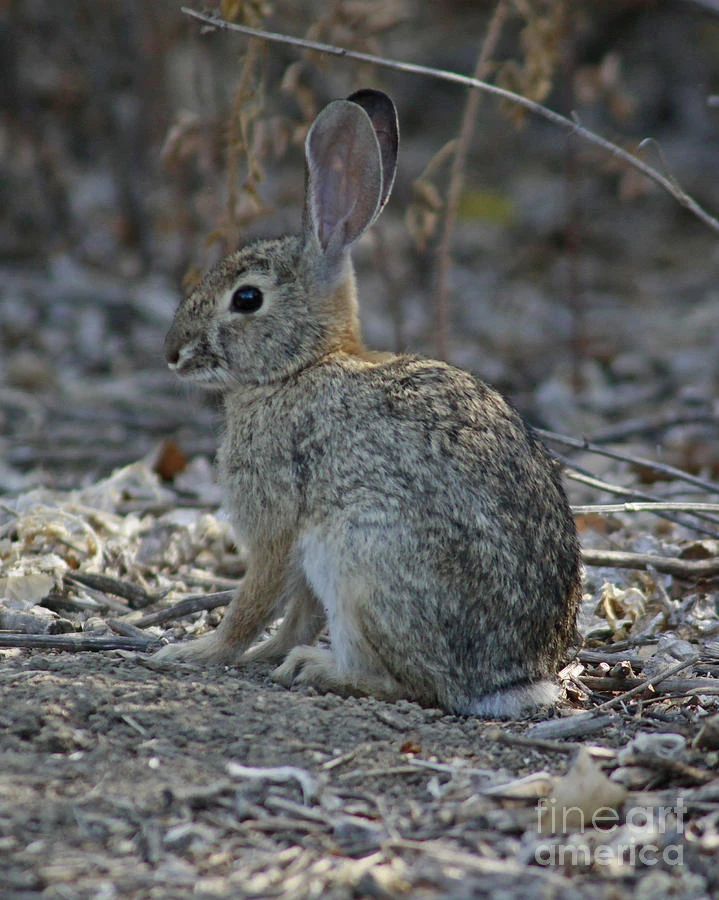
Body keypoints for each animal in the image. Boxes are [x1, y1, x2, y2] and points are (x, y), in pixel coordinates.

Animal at [156, 88, 582, 718]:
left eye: (247, 299)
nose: (173, 352)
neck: (301, 365)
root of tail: (508, 681)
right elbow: (297, 613)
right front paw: (263, 653)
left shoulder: (279, 519)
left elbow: (254, 600)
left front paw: (200, 652)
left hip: (359, 562)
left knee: (410, 684)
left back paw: (317, 669)